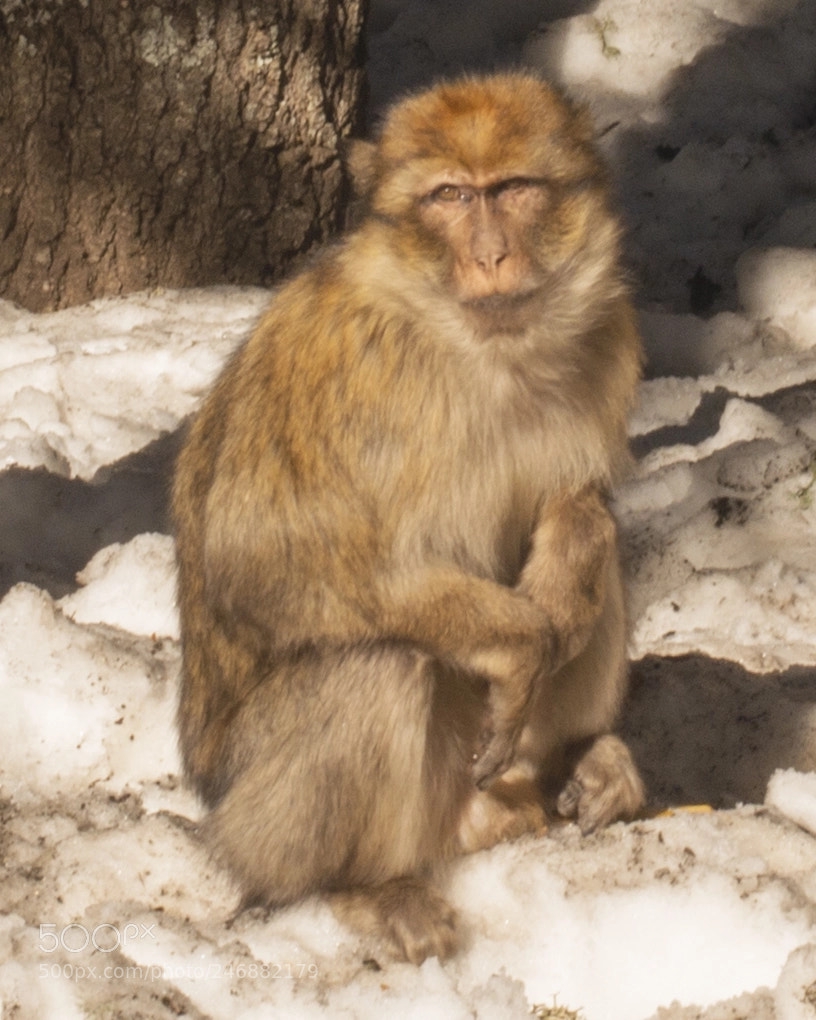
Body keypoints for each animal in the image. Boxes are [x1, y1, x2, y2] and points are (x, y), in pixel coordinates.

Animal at [172, 72, 645, 966]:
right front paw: (523, 643)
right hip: (258, 815)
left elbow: (581, 504)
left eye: (514, 188)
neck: (481, 348)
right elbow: (262, 559)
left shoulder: (609, 338)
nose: (491, 255)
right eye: (450, 197)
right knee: (379, 661)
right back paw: (365, 886)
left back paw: (581, 756)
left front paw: (566, 574)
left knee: (602, 565)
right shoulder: (342, 362)